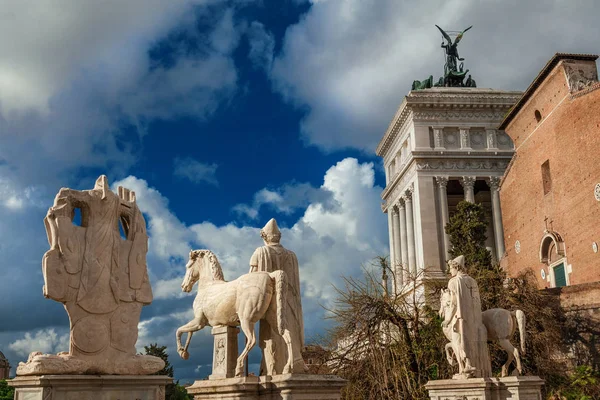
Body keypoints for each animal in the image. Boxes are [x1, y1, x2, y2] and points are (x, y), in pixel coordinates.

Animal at [175, 248, 294, 376]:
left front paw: (181, 352)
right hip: (273, 318)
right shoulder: (203, 322)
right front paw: (184, 352)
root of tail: (270, 275)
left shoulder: (199, 322)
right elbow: (188, 332)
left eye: (188, 266)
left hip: (246, 320)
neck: (208, 285)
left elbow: (179, 331)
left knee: (252, 340)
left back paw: (238, 368)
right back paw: (288, 368)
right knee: (287, 336)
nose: (184, 286)